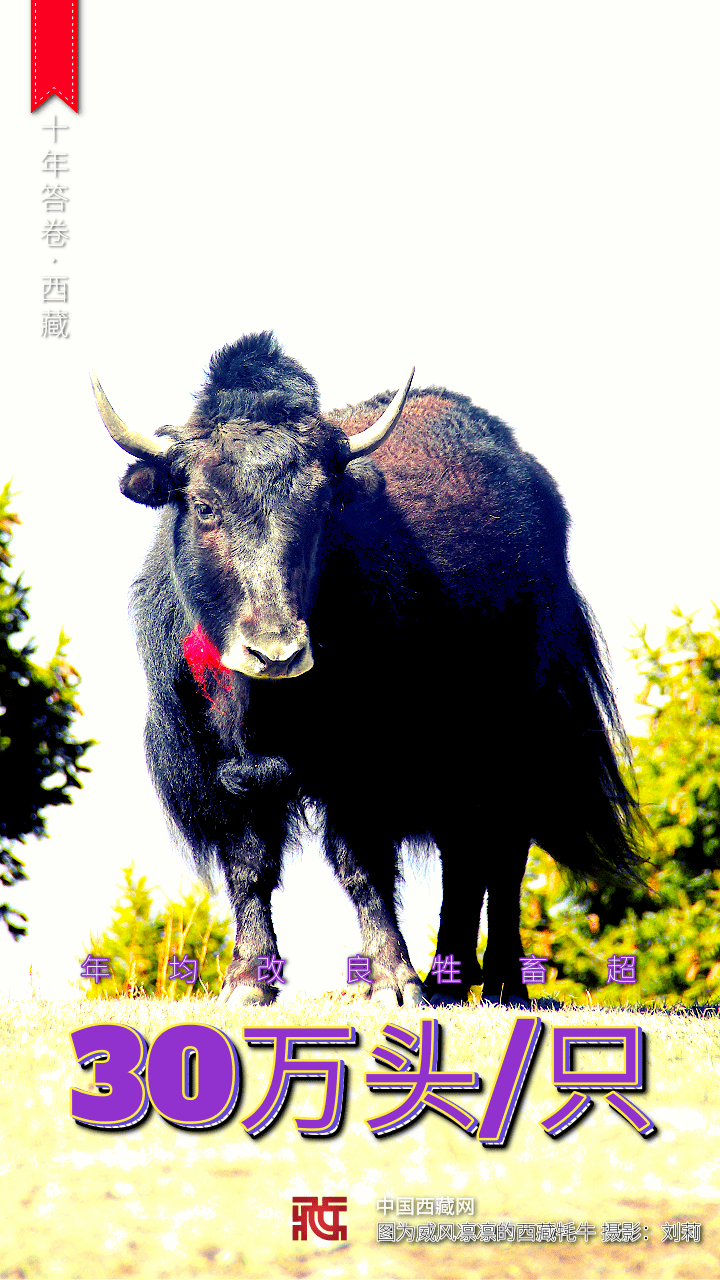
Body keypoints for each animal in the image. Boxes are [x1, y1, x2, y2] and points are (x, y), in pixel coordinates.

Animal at [92, 330, 641, 1008]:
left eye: (321, 506)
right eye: (202, 505)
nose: (276, 652)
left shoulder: (367, 762)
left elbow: (362, 862)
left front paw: (394, 981)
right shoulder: (215, 767)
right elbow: (248, 865)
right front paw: (247, 983)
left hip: (519, 731)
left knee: (502, 847)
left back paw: (501, 982)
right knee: (466, 850)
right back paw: (452, 979)